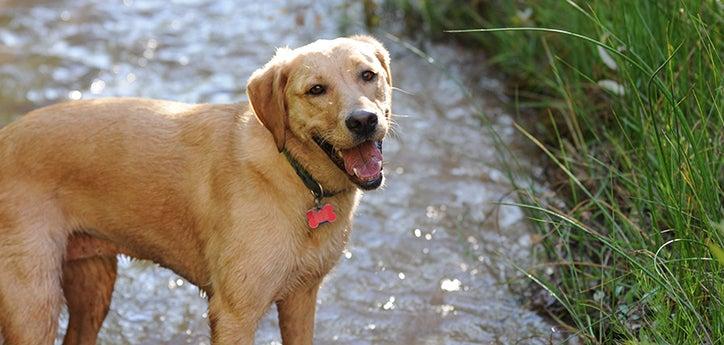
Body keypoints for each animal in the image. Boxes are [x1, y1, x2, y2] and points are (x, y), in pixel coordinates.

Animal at [0, 35, 394, 344]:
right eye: (316, 89)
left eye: (368, 75)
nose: (363, 120)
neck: (296, 176)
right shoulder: (235, 314)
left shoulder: (301, 298)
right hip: (33, 303)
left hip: (93, 284)